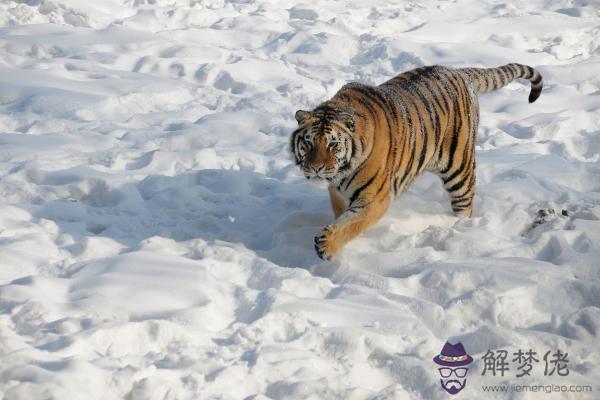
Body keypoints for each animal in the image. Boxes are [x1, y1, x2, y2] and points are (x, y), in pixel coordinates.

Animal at [290, 63, 544, 260]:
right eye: (309, 143)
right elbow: (341, 216)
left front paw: (327, 245)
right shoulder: (337, 192)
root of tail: (459, 72)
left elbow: (351, 223)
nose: (315, 168)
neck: (341, 173)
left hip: (459, 169)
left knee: (464, 205)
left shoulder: (374, 199)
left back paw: (459, 229)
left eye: (333, 145)